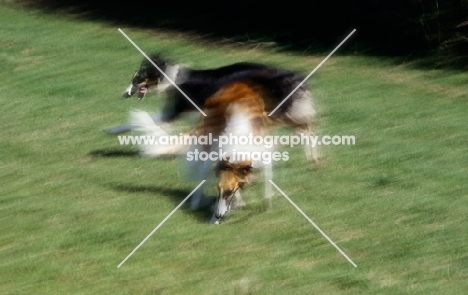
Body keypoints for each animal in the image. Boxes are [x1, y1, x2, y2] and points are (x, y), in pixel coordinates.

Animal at [114, 54, 318, 163]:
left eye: (137, 79)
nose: (124, 94)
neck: (169, 77)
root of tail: (283, 74)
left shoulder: (173, 113)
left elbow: (154, 122)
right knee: (304, 127)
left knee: (305, 128)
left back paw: (313, 157)